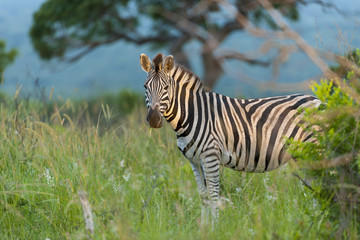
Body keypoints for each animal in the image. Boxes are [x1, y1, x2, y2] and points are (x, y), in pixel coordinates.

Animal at [140, 52, 320, 225]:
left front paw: (215, 228)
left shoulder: (211, 156)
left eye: (166, 87)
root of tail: (318, 99)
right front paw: (203, 227)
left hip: (315, 151)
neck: (192, 114)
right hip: (303, 156)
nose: (154, 119)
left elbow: (213, 196)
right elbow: (203, 196)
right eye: (145, 87)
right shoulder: (195, 161)